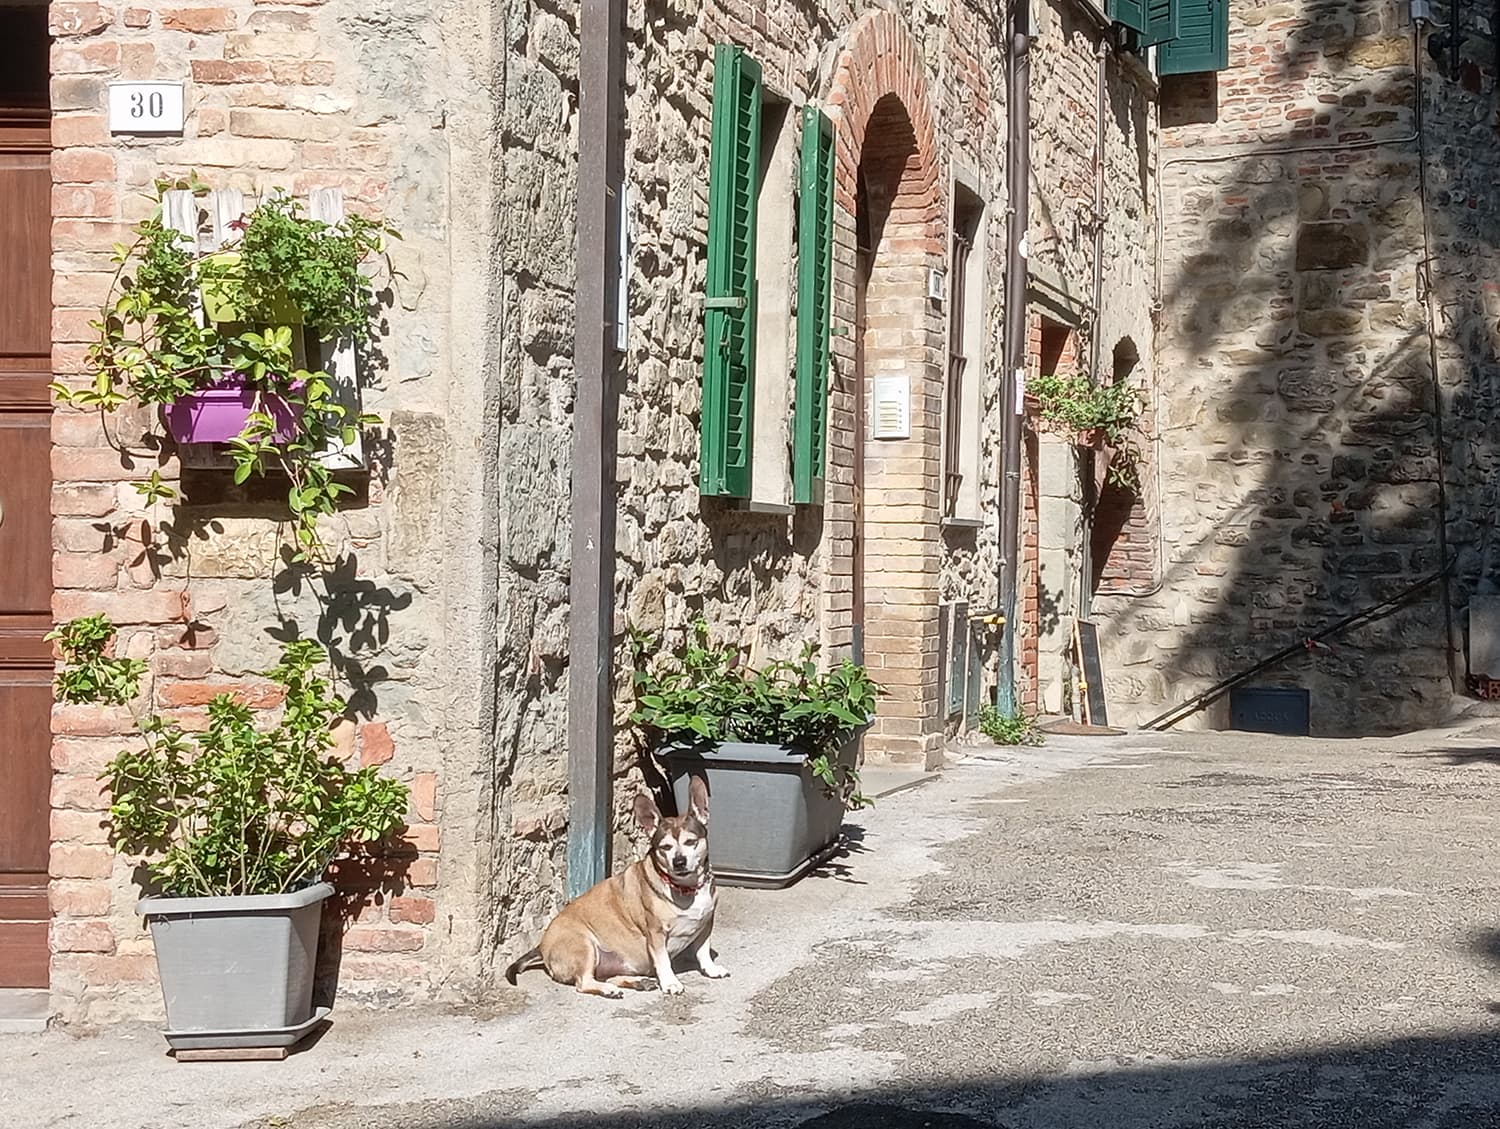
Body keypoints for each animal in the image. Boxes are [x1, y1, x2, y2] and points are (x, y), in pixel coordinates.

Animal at [501, 773, 729, 995]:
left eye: (691, 842)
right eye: (665, 847)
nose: (679, 861)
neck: (686, 888)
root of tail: (542, 945)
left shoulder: (705, 924)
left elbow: (703, 950)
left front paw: (710, 968)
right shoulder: (656, 934)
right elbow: (663, 960)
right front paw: (671, 982)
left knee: (604, 976)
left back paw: (637, 983)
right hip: (585, 946)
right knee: (584, 982)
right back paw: (609, 990)